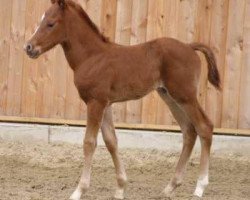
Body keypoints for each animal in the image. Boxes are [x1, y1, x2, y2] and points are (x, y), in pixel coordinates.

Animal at [24, 0, 221, 199]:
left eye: (50, 23)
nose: (29, 48)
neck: (92, 57)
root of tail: (189, 46)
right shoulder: (106, 104)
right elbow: (111, 141)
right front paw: (120, 188)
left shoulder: (95, 102)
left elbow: (89, 142)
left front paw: (79, 191)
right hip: (169, 96)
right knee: (189, 131)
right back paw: (170, 187)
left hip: (185, 95)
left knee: (204, 127)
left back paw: (200, 187)